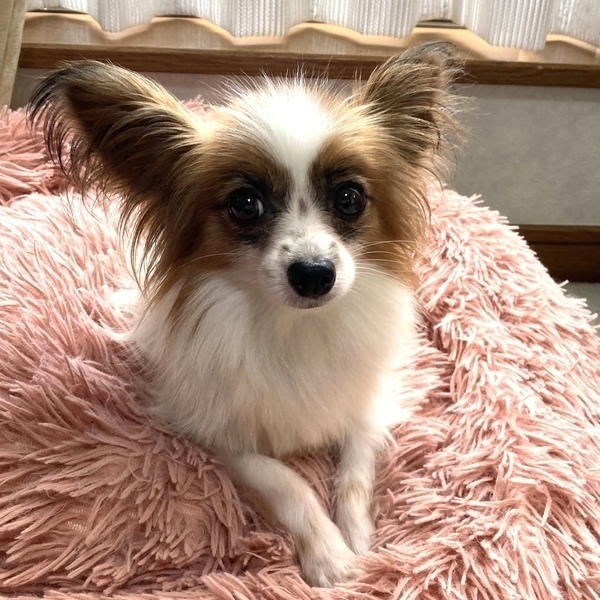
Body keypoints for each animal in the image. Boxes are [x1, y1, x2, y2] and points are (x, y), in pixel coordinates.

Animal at [29, 43, 460, 587]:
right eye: (245, 204)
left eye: (349, 198)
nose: (314, 274)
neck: (292, 326)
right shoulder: (216, 429)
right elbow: (288, 483)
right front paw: (331, 556)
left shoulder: (368, 402)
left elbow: (356, 468)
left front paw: (358, 534)